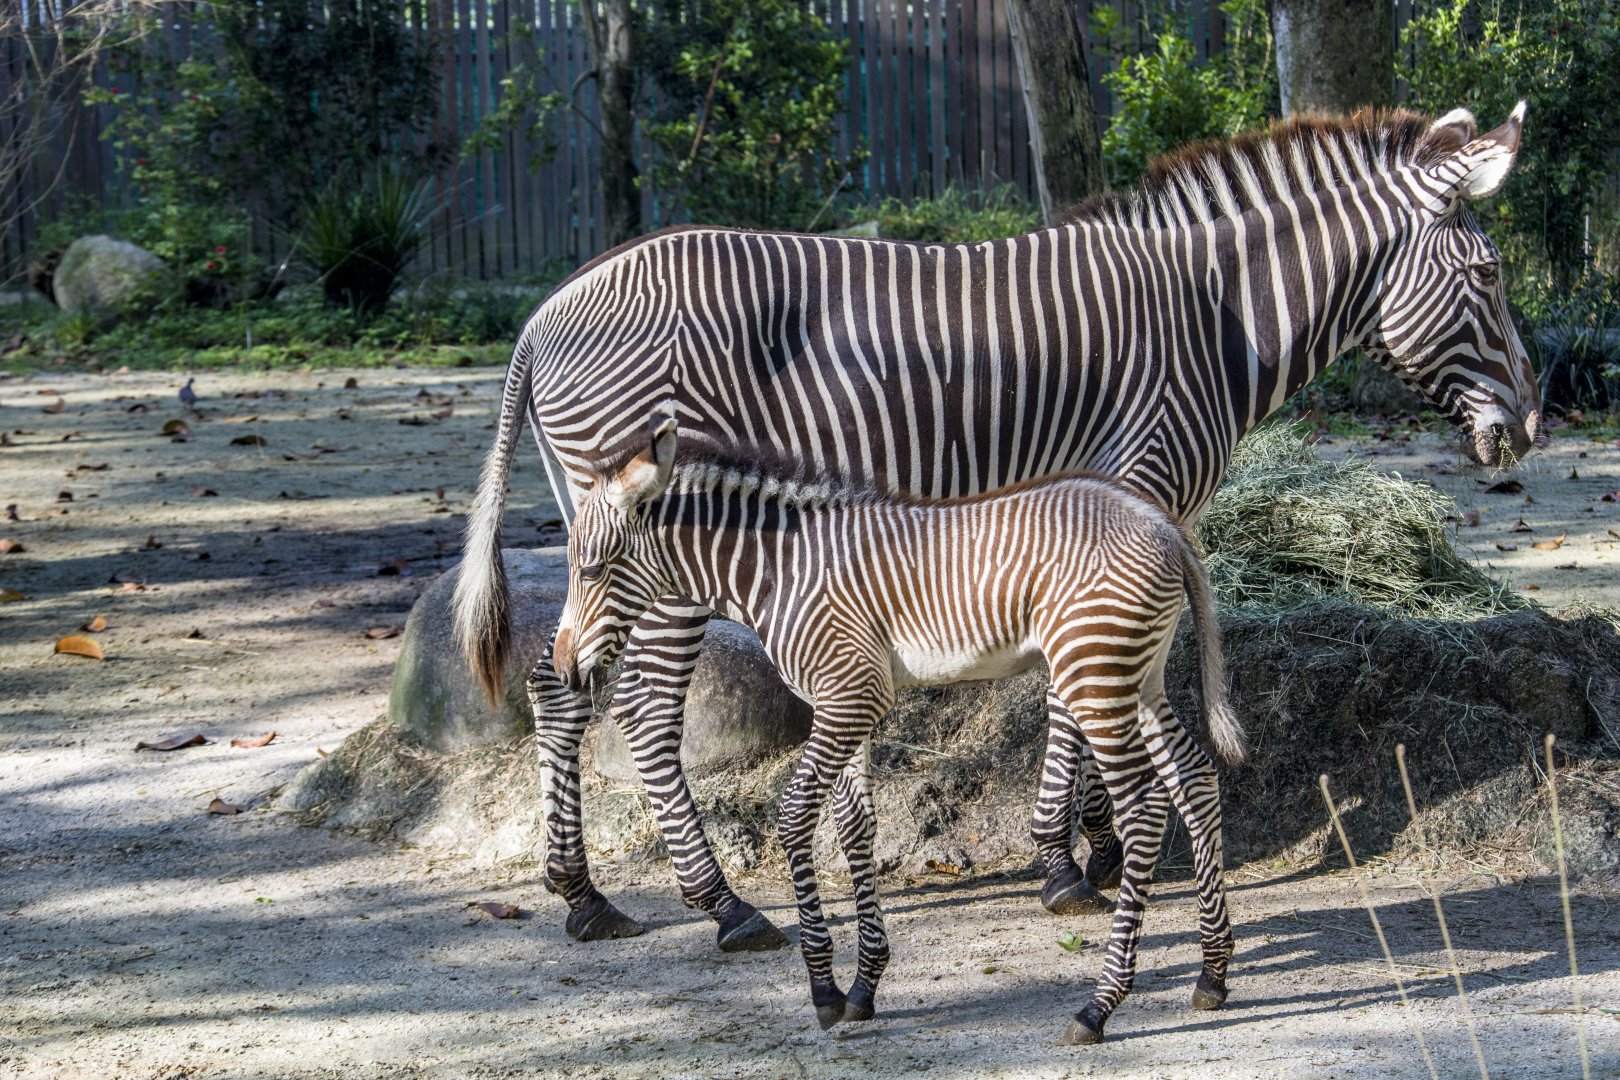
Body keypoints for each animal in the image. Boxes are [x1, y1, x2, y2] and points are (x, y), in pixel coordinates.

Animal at [454, 104, 1542, 951]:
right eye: (1489, 276)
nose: (1531, 424)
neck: (1213, 320)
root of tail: (545, 310)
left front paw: (1097, 842)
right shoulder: (1128, 484)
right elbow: (1074, 691)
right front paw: (1074, 854)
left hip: (604, 537)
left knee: (560, 680)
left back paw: (583, 895)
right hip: (661, 544)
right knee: (639, 707)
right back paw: (720, 903)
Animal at [549, 413, 1248, 1043]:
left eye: (590, 571)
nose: (563, 668)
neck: (781, 570)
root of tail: (1162, 523)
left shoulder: (851, 696)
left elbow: (795, 817)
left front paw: (825, 990)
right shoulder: (840, 704)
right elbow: (855, 829)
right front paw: (865, 985)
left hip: (1094, 675)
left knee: (1144, 811)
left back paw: (1101, 1005)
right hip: (1138, 675)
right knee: (1194, 777)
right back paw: (1211, 975)